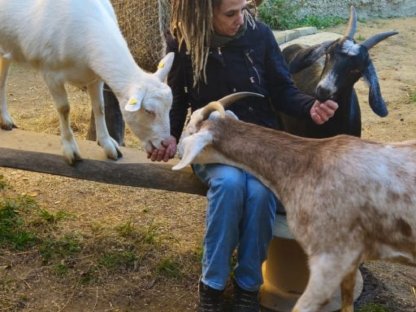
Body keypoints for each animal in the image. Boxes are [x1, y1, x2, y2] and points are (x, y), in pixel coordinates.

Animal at [0, 0, 173, 165]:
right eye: (149, 111)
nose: (166, 144)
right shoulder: (50, 73)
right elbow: (64, 109)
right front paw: (70, 149)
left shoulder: (95, 77)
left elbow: (100, 107)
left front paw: (108, 145)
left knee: (2, 81)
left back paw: (5, 120)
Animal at [173, 92, 416, 312]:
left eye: (191, 129)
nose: (176, 148)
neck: (307, 165)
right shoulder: (352, 259)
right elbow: (347, 305)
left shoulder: (331, 257)